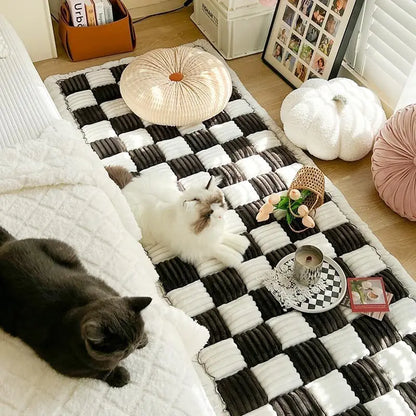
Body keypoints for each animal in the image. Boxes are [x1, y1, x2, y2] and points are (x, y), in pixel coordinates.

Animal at [0, 228, 151, 386]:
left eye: (134, 341)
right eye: (122, 349)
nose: (132, 347)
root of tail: (8, 244)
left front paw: (144, 340)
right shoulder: (69, 367)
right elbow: (100, 373)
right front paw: (120, 376)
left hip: (65, 252)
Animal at [121, 174, 250, 268]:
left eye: (218, 203)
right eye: (209, 214)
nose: (219, 216)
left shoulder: (214, 234)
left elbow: (225, 236)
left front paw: (242, 243)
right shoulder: (196, 248)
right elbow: (218, 249)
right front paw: (236, 258)